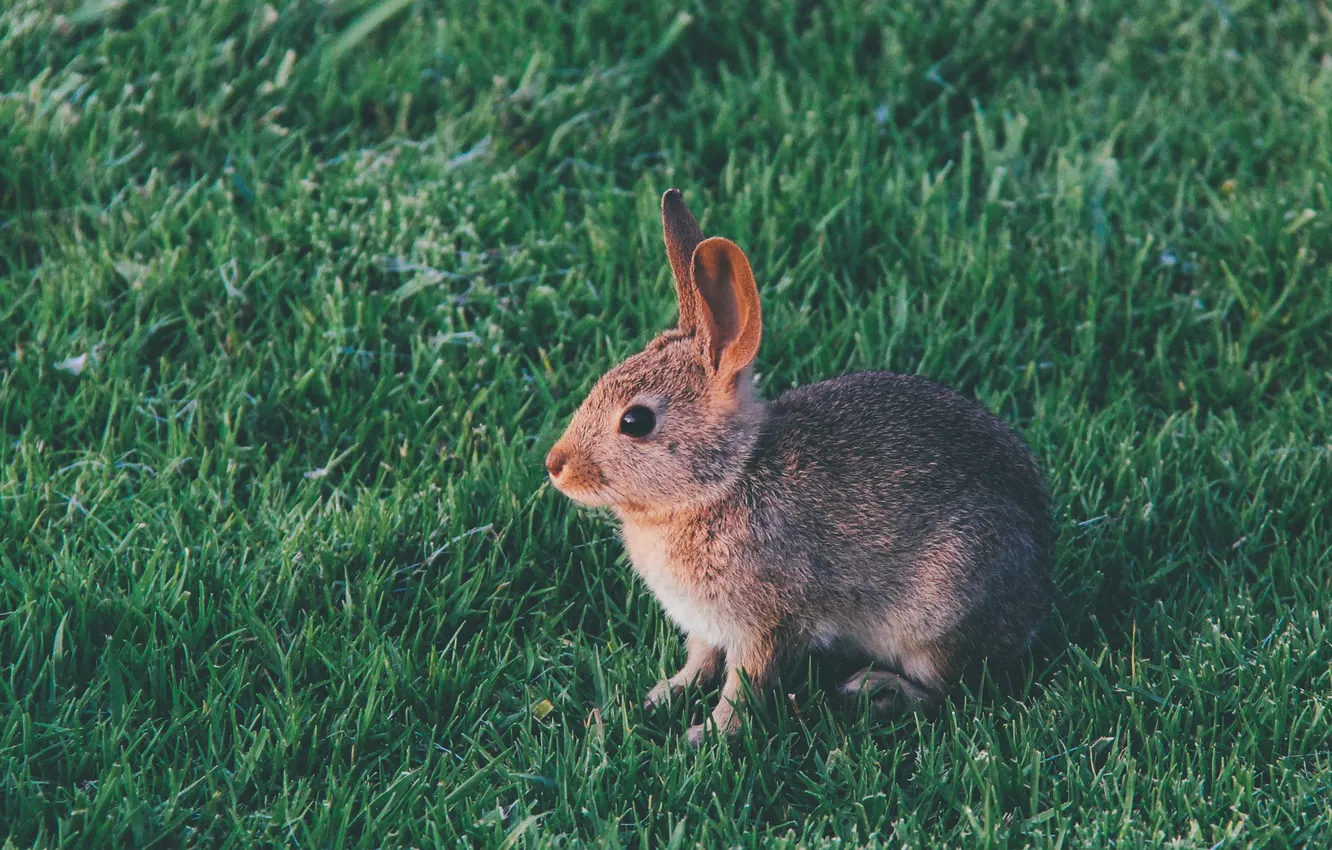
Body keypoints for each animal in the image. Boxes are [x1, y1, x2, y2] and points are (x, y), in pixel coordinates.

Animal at [545, 189, 1054, 746]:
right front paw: (662, 695)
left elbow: (743, 685)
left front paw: (706, 736)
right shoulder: (706, 624)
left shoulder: (765, 624)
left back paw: (873, 689)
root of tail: (1037, 590)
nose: (555, 466)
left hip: (935, 619)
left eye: (635, 421)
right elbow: (699, 662)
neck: (724, 480)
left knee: (943, 688)